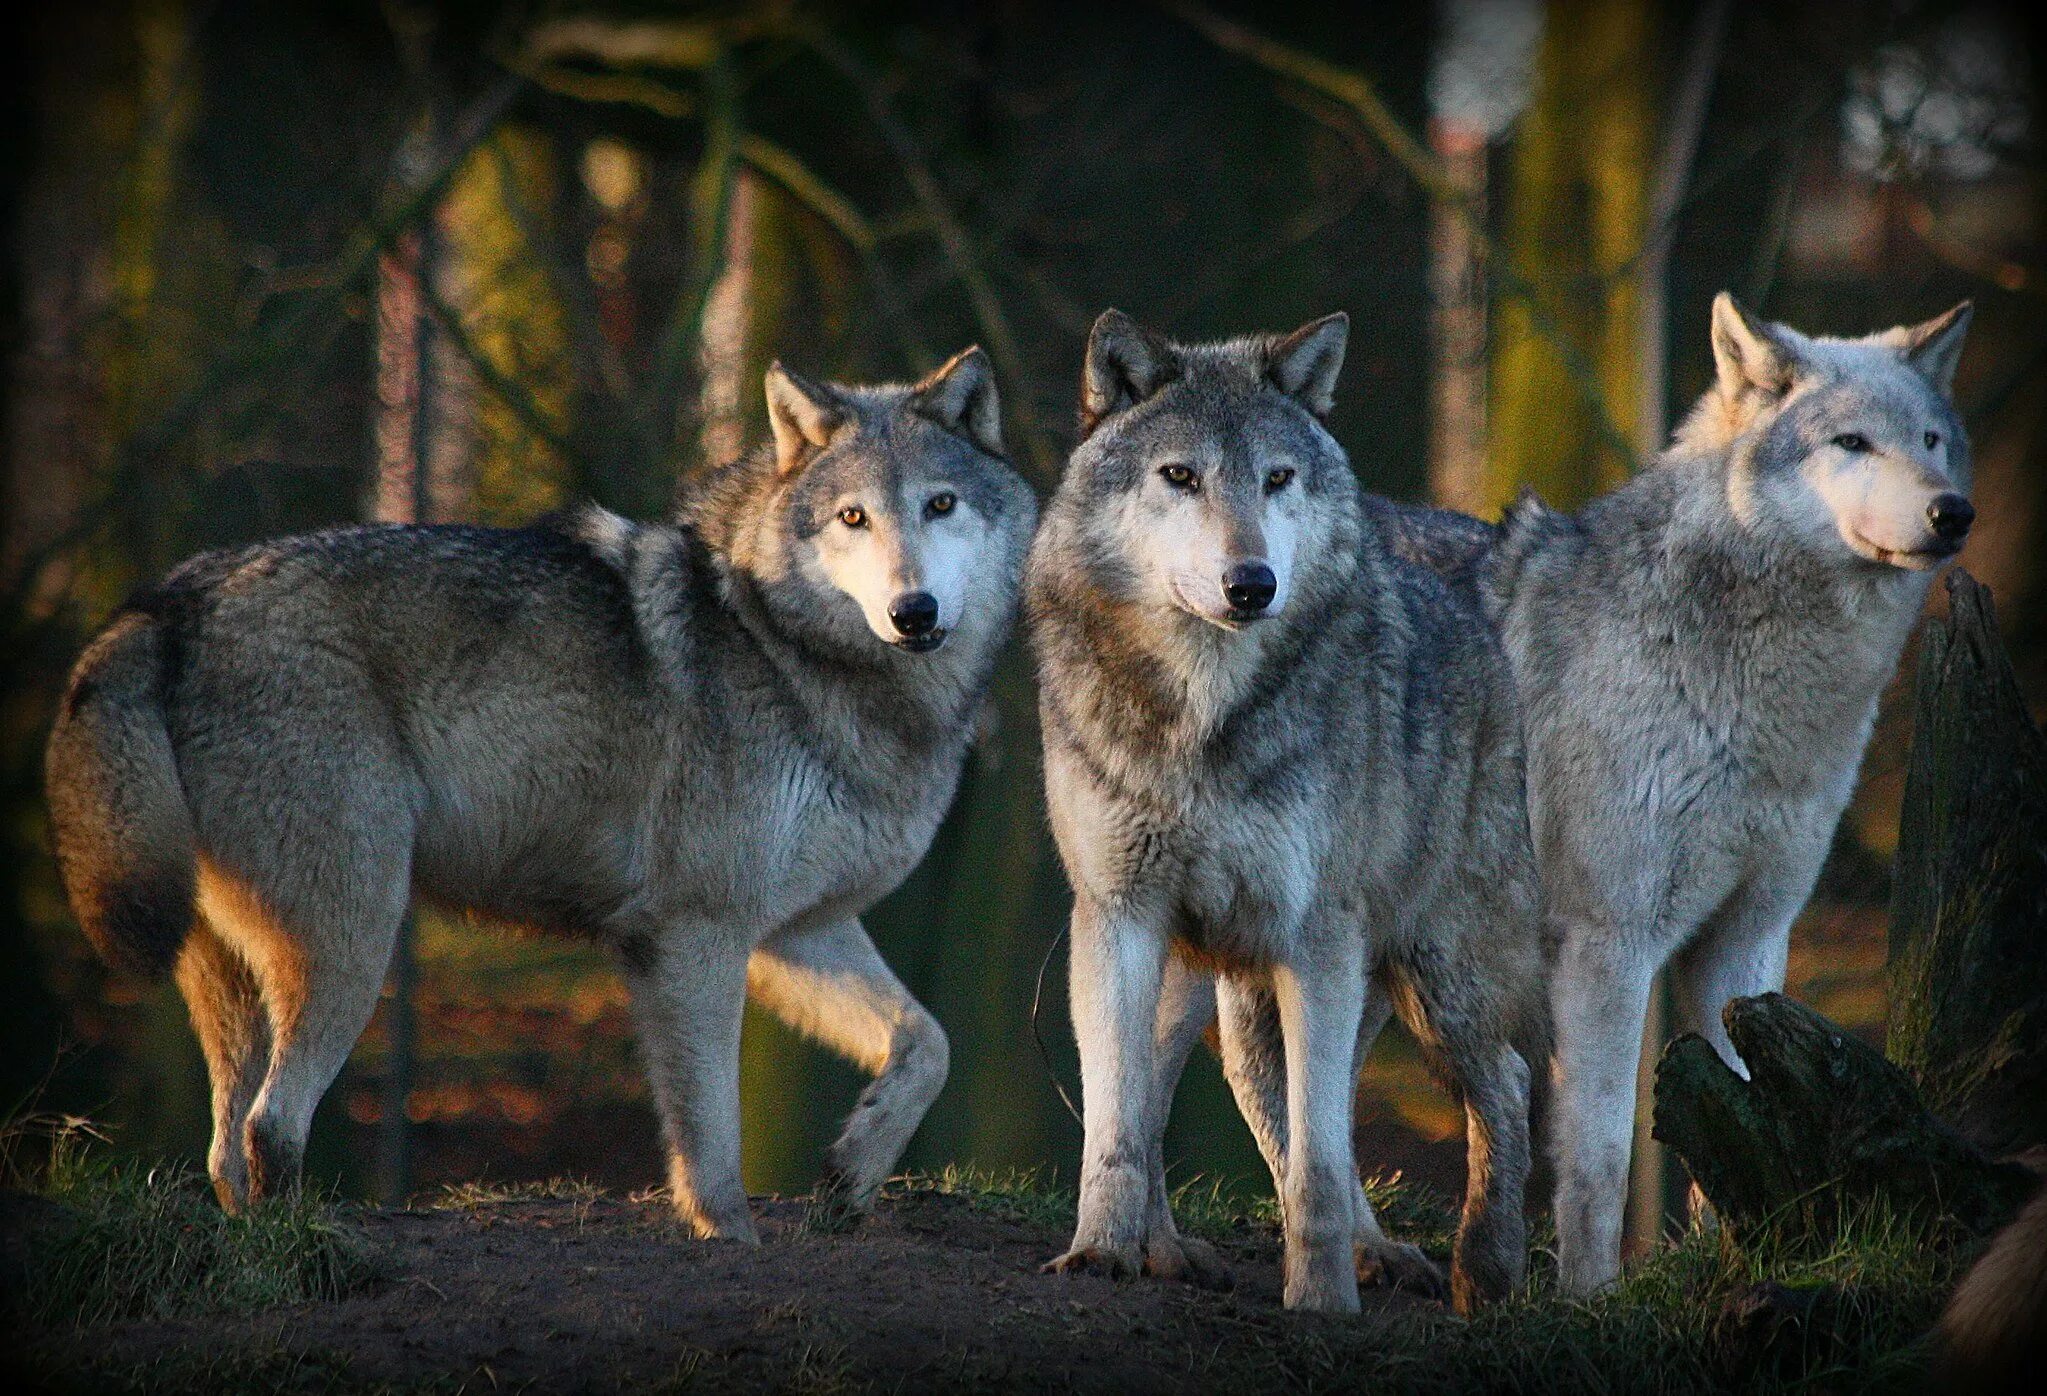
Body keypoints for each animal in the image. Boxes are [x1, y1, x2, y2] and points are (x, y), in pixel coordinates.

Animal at [44, 345, 1039, 1228]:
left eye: (939, 505)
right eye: (852, 519)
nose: (913, 613)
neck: (786, 647)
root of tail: (170, 599)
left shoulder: (796, 934)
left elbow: (929, 1045)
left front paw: (851, 1173)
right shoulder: (694, 934)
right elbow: (711, 1141)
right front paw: (729, 1238)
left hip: (239, 963)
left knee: (225, 1150)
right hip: (354, 939)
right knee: (270, 1126)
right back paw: (316, 1253)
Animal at [1031, 309, 1539, 1310]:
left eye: (1276, 479)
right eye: (1179, 476)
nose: (1252, 583)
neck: (1202, 719)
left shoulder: (1317, 938)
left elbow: (1318, 1159)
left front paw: (1321, 1302)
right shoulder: (1116, 917)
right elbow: (1114, 1124)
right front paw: (1100, 1252)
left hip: (1432, 974)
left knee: (1500, 1080)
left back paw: (1482, 1268)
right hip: (1210, 983)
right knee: (1211, 1094)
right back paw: (1176, 1249)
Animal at [1367, 296, 1973, 1293]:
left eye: (1929, 440)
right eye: (1850, 442)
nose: (1951, 511)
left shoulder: (1747, 939)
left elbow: (1744, 1118)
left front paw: (1744, 1264)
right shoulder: (1607, 947)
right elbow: (1602, 1157)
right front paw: (1589, 1298)